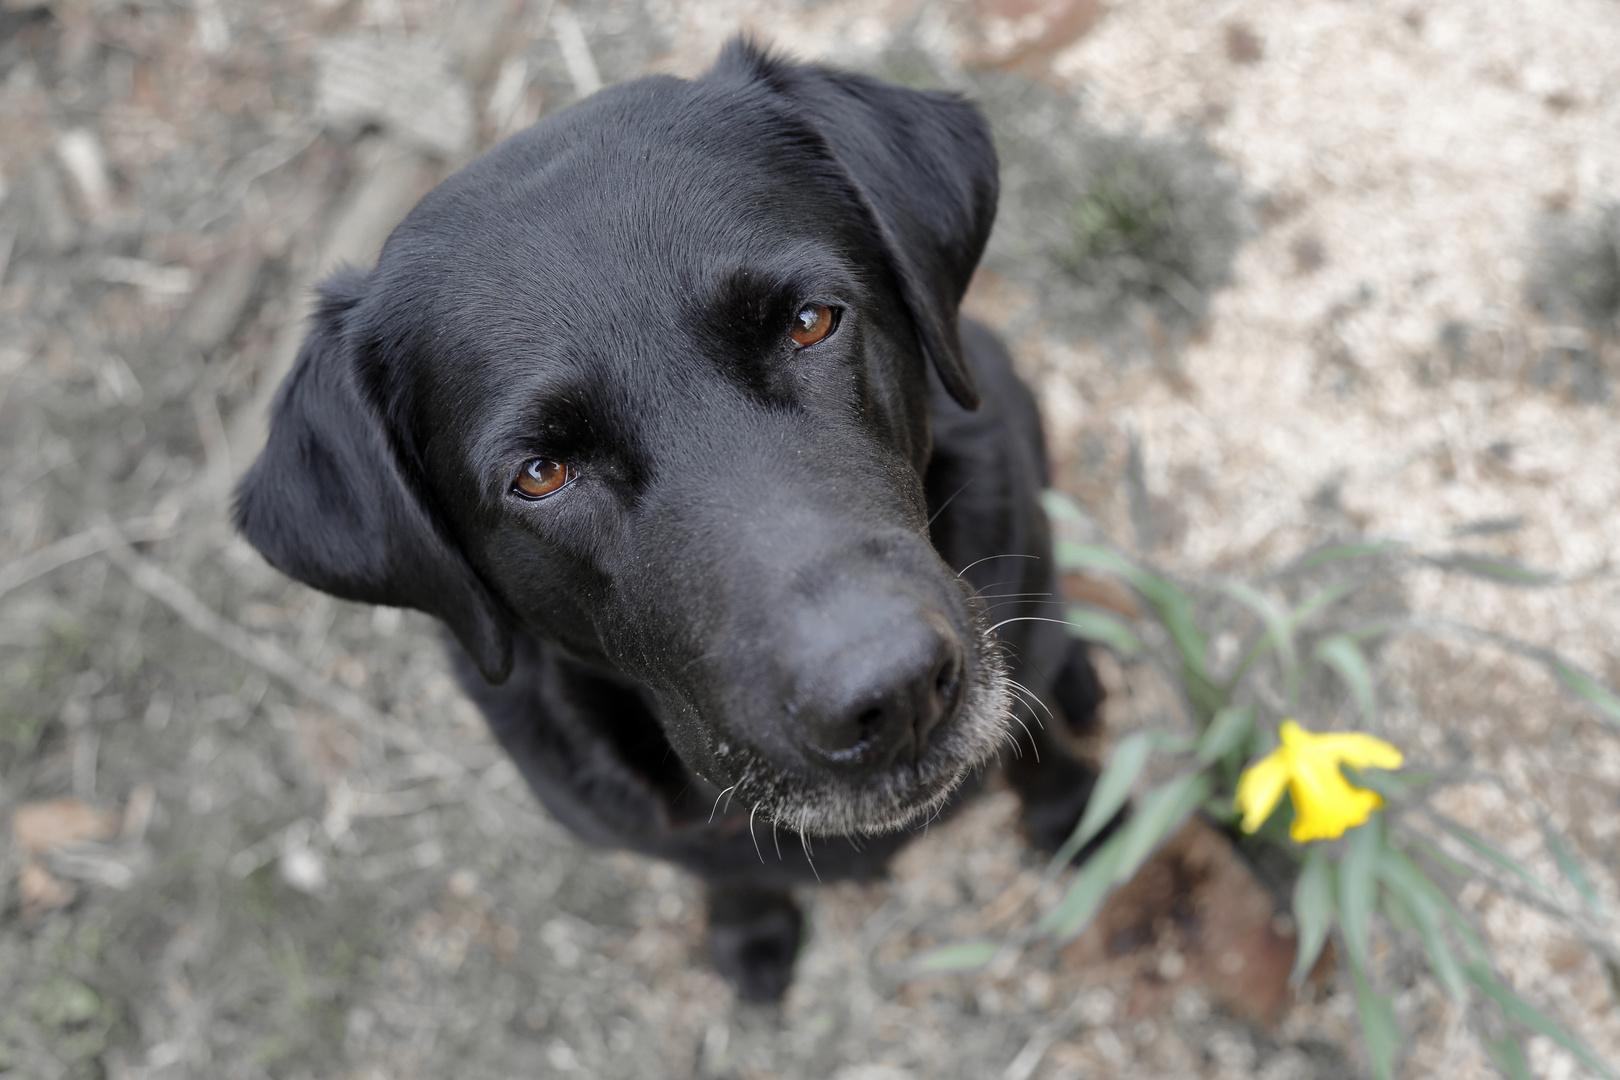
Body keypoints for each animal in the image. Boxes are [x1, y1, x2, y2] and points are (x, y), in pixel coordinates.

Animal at [234, 42, 1108, 1003]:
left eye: (811, 322)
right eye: (541, 474)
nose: (896, 691)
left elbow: (1036, 749)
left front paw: (1075, 811)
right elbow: (723, 873)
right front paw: (748, 928)